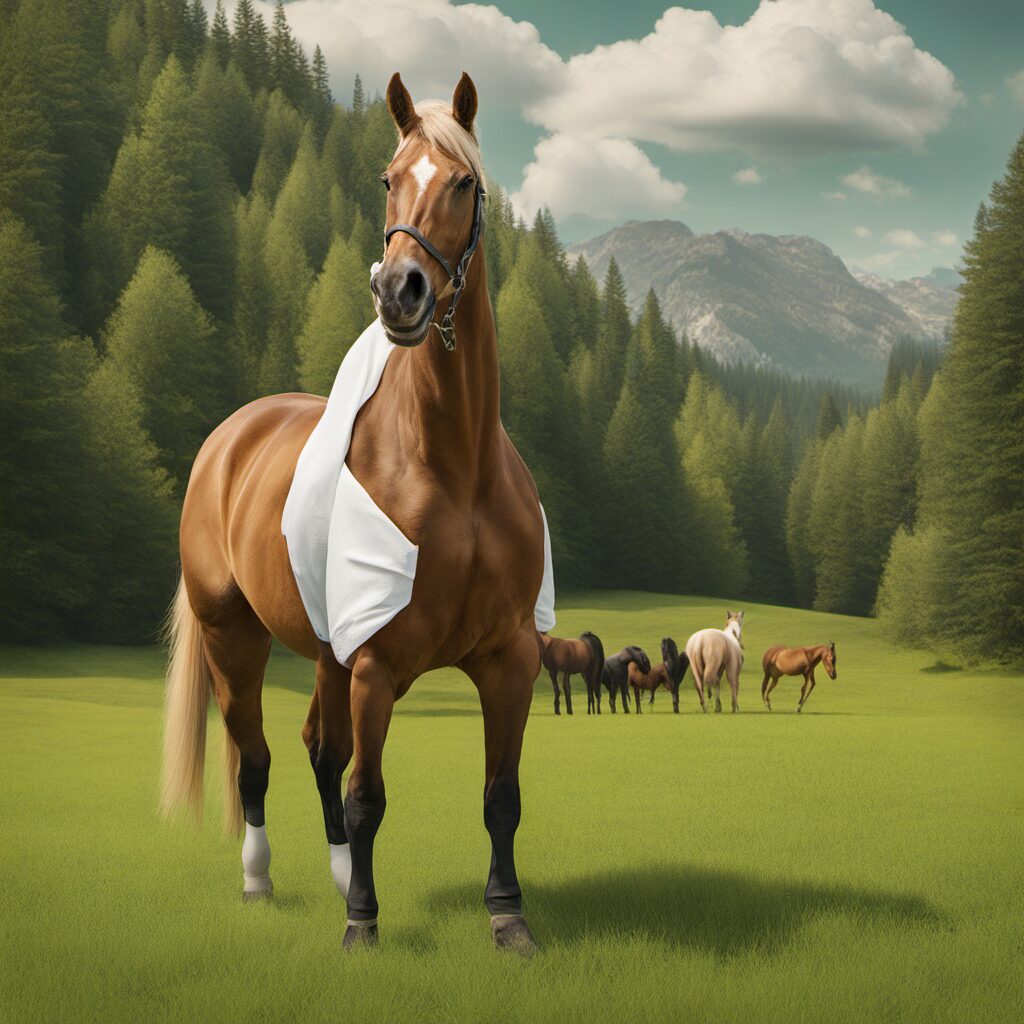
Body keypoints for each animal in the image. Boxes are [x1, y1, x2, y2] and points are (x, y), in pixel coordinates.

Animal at [159, 74, 546, 955]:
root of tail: (228, 438)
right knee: (258, 755)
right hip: (238, 638)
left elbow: (500, 796)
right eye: (388, 178)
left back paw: (337, 877)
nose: (400, 291)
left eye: (464, 183)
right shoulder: (374, 663)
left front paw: (508, 918)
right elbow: (369, 794)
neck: (453, 470)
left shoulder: (508, 659)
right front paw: (363, 927)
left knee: (317, 749)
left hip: (328, 654)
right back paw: (261, 883)